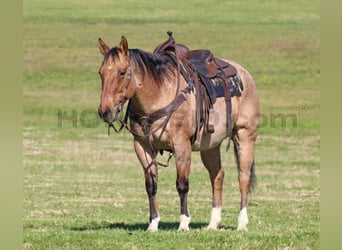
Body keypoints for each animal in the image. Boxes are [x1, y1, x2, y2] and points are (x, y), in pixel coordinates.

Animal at [96, 32, 260, 231]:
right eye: (101, 73)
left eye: (121, 72)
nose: (105, 111)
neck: (158, 95)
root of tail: (244, 74)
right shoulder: (142, 146)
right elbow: (151, 185)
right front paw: (153, 223)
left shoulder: (181, 145)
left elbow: (182, 184)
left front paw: (183, 223)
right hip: (210, 145)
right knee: (217, 175)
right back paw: (213, 223)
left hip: (245, 136)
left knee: (243, 177)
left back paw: (242, 223)